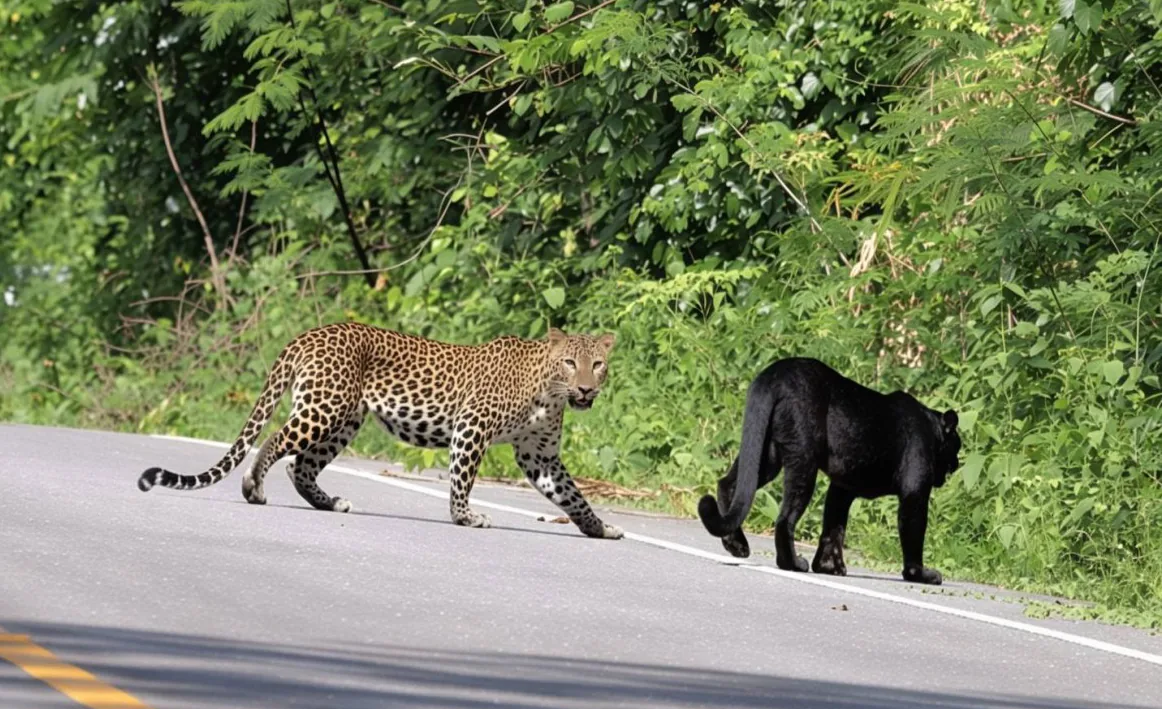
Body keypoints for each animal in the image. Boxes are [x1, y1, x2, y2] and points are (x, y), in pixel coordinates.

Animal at [136, 322, 624, 539]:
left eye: (597, 364)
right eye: (570, 362)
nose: (585, 388)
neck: (549, 392)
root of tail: (307, 335)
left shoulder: (538, 455)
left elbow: (572, 494)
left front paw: (600, 527)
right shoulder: (473, 426)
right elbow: (462, 479)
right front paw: (466, 517)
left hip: (345, 419)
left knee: (301, 466)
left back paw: (330, 503)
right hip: (325, 407)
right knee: (276, 442)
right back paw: (253, 488)